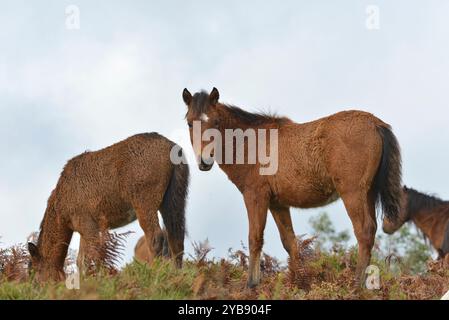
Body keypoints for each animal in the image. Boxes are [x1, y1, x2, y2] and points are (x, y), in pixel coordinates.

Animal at [27, 134, 189, 282]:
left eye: (36, 277)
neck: (60, 203)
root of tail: (172, 147)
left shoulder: (87, 225)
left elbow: (95, 255)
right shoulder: (84, 230)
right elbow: (82, 261)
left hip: (144, 203)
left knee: (156, 237)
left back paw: (154, 274)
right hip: (172, 201)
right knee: (176, 238)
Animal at [182, 87, 402, 288]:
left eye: (216, 122)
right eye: (190, 123)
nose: (204, 161)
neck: (250, 142)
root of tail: (375, 123)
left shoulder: (255, 195)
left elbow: (255, 238)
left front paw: (252, 285)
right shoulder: (278, 204)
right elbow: (290, 242)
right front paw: (298, 282)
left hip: (353, 192)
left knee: (364, 231)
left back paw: (356, 285)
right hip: (368, 192)